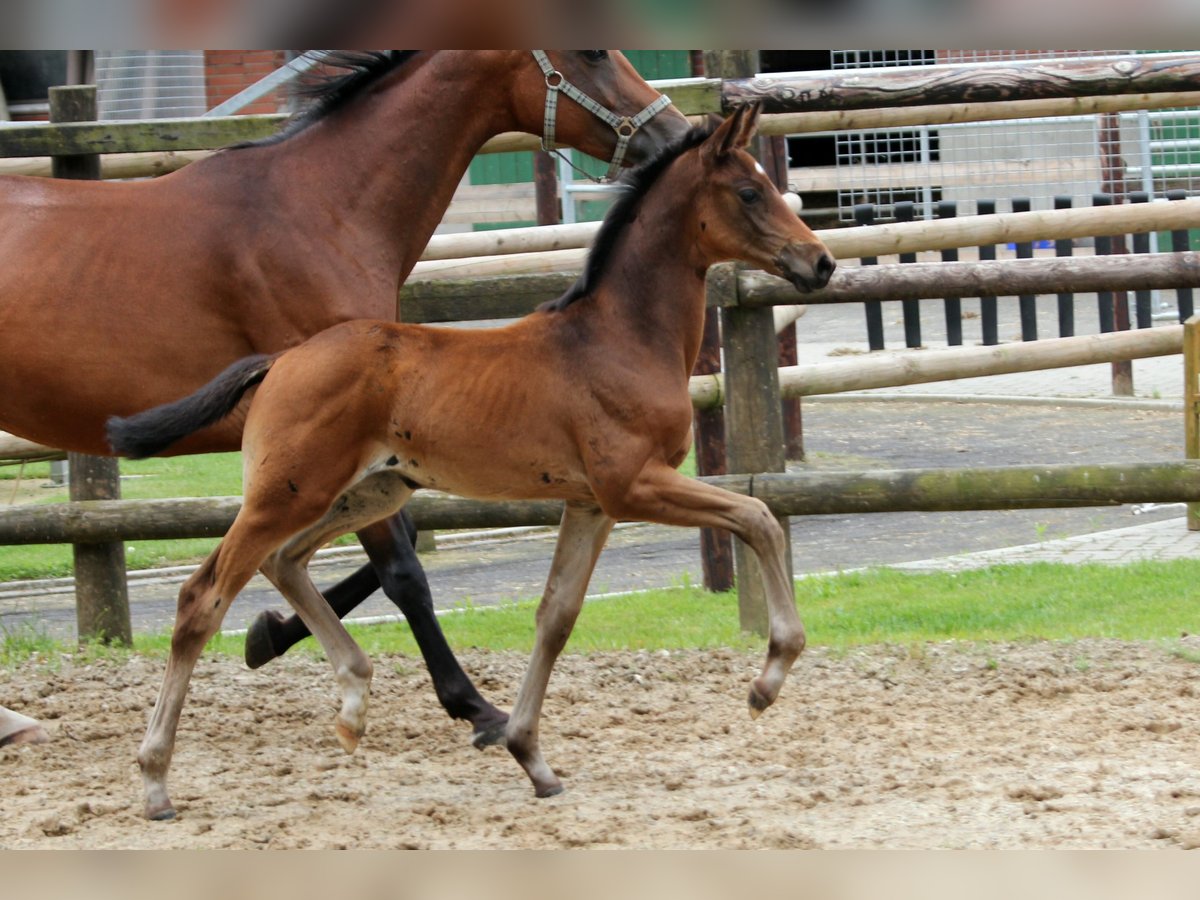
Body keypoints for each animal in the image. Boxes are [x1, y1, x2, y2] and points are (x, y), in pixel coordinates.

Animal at [0, 52, 686, 748]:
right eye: (592, 54)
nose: (675, 135)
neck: (322, 209)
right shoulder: (345, 437)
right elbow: (403, 572)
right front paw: (474, 706)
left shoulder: (371, 448)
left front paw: (266, 636)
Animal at [110, 103, 835, 816]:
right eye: (749, 192)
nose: (821, 262)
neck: (617, 338)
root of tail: (281, 360)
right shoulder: (634, 485)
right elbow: (758, 515)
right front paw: (770, 677)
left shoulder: (589, 502)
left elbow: (555, 616)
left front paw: (530, 755)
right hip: (289, 493)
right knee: (203, 598)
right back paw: (154, 780)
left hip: (366, 492)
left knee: (283, 561)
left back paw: (352, 701)